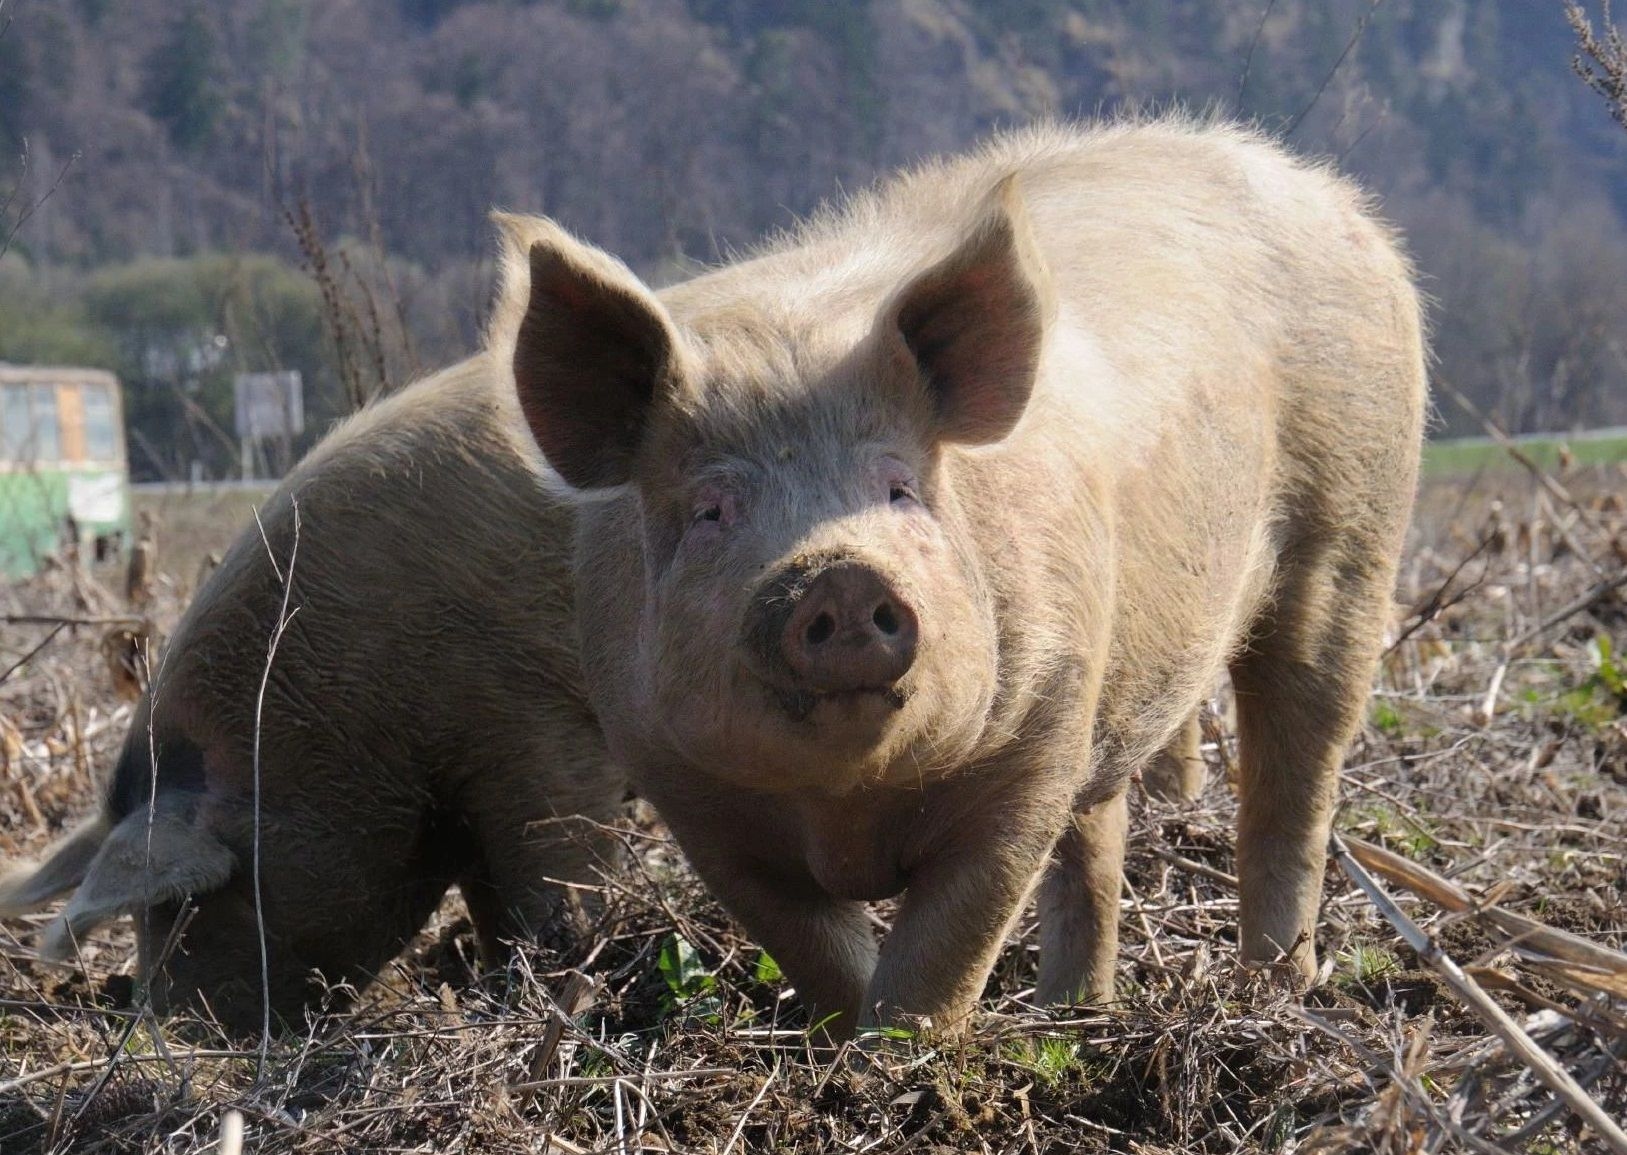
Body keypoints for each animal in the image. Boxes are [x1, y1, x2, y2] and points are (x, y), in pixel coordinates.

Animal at [488, 117, 1431, 1041]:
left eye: (900, 487)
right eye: (711, 509)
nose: (837, 574)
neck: (845, 803)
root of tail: (1328, 193)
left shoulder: (1034, 735)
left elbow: (945, 948)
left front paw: (903, 1058)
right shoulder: (684, 790)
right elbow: (814, 948)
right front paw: (848, 1050)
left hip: (1354, 527)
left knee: (1293, 780)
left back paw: (1275, 994)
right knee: (1100, 835)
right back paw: (1069, 1016)